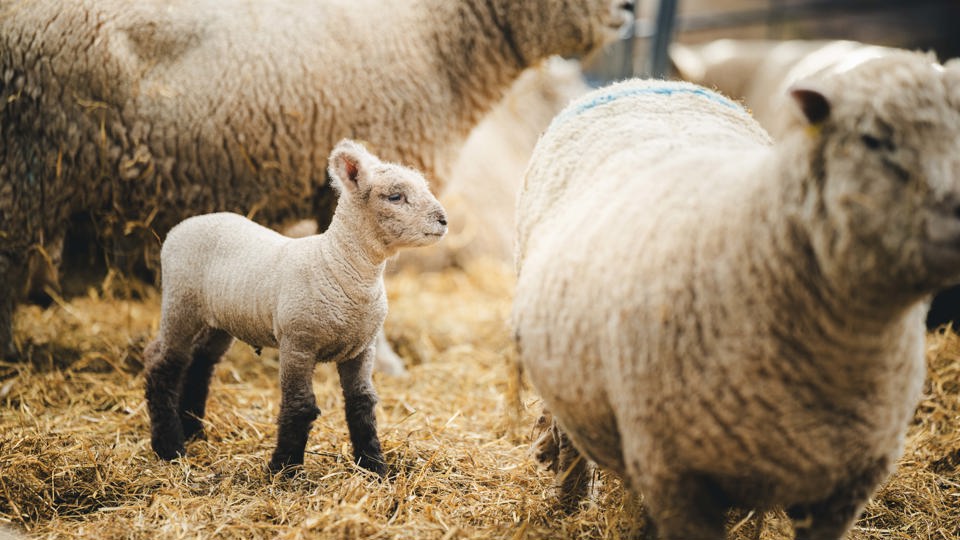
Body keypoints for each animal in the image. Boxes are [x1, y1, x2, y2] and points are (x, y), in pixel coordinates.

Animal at [143, 139, 447, 475]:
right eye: (395, 196)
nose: (443, 220)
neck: (336, 263)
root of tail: (183, 226)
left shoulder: (361, 349)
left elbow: (362, 403)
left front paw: (373, 466)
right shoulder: (297, 343)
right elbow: (300, 405)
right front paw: (284, 468)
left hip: (218, 320)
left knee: (199, 364)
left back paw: (194, 430)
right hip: (180, 303)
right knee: (163, 365)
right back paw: (169, 446)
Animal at [513, 51, 960, 539]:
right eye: (874, 139)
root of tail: (643, 81)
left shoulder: (843, 489)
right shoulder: (676, 475)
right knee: (567, 441)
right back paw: (568, 503)